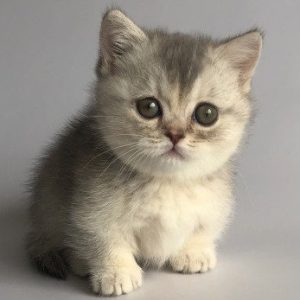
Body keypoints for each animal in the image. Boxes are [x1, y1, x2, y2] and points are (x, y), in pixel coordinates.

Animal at [27, 8, 262, 296]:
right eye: (148, 107)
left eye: (207, 114)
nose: (175, 135)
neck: (169, 183)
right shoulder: (92, 208)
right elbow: (104, 237)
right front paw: (116, 272)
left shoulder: (215, 202)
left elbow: (205, 227)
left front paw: (194, 251)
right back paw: (80, 262)